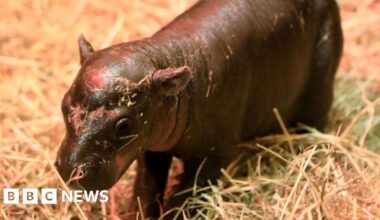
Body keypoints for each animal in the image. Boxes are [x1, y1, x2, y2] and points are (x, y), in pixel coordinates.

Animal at [55, 0, 342, 217]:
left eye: (123, 125)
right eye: (64, 105)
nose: (69, 168)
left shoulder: (215, 155)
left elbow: (185, 196)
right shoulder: (151, 147)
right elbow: (146, 189)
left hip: (321, 85)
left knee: (315, 122)